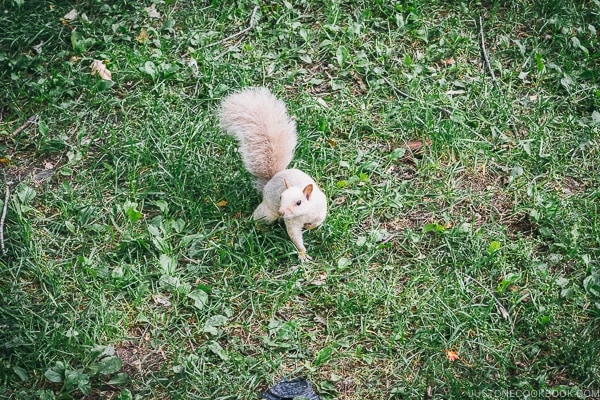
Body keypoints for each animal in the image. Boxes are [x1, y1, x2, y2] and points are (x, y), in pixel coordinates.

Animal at [217, 86, 326, 260]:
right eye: (281, 197)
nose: (282, 212)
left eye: (299, 202)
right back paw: (262, 229)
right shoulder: (292, 222)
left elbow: (320, 220)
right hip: (268, 211)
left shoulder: (321, 207)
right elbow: (295, 236)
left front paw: (310, 226)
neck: (304, 214)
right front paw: (302, 253)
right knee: (257, 218)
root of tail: (271, 178)